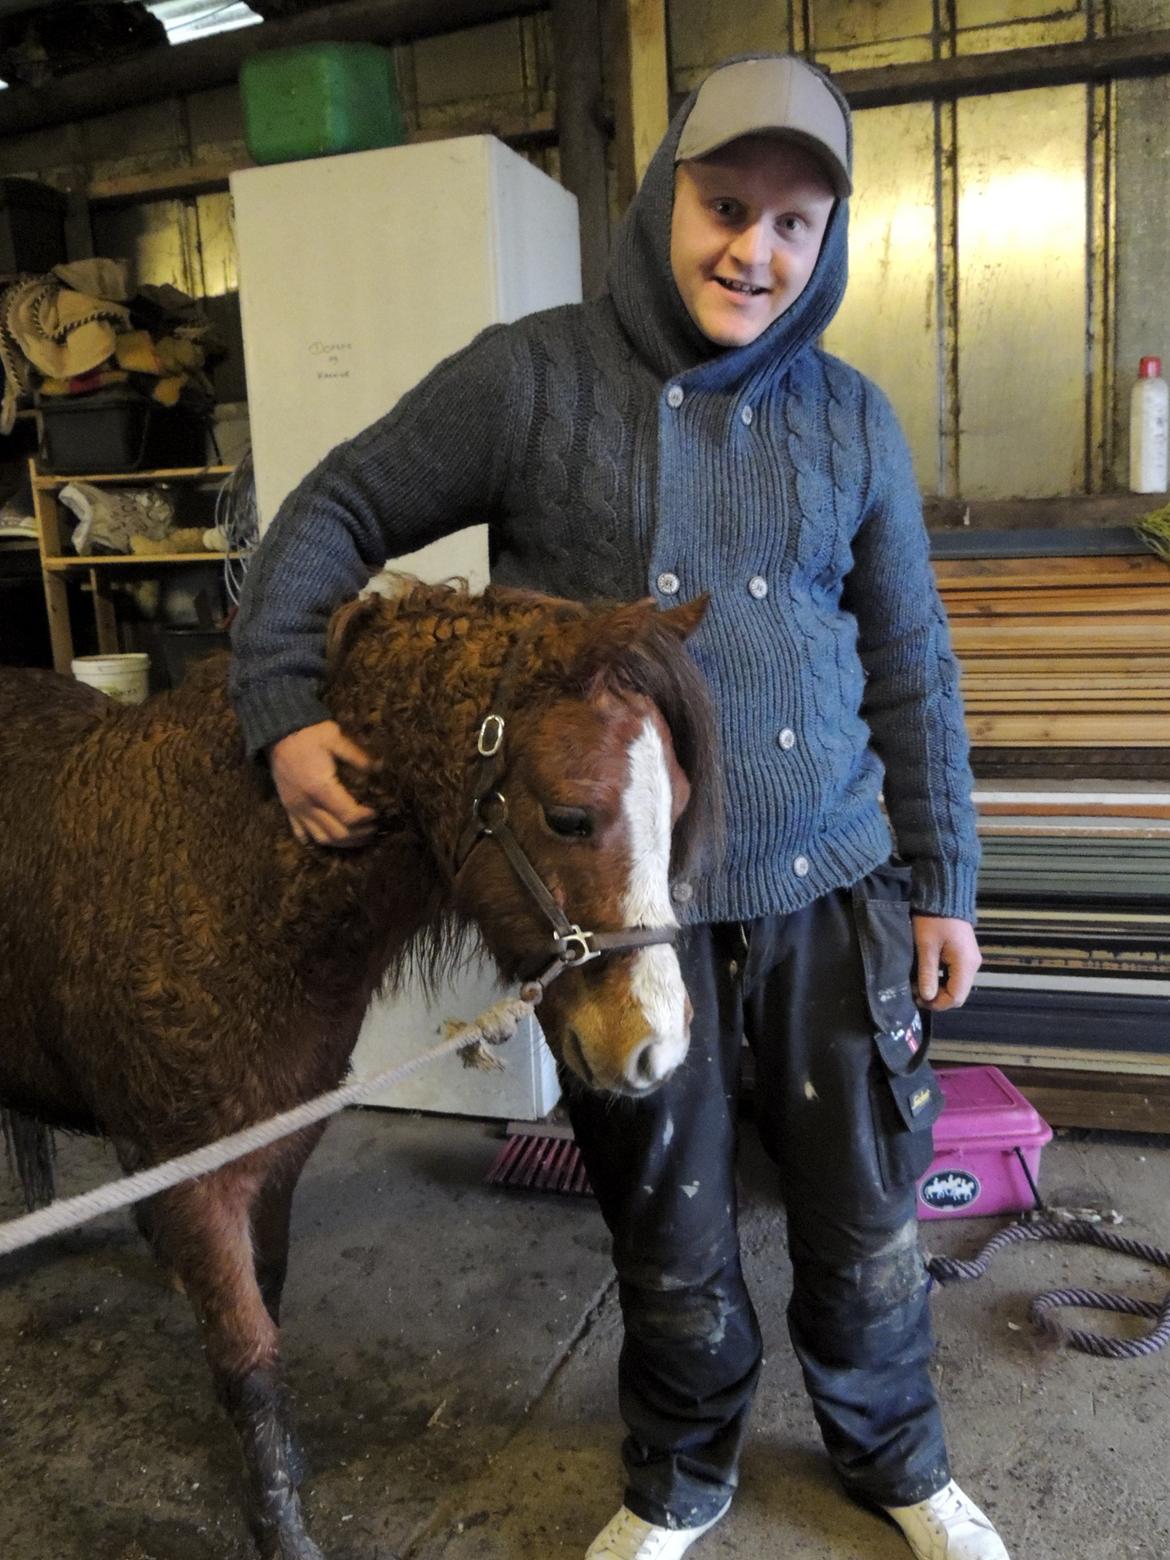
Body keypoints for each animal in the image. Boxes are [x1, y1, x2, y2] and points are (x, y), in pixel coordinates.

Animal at [0, 578, 716, 1560]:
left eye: (678, 804)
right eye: (571, 816)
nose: (654, 1047)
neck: (214, 876)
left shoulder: (275, 1158)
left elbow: (263, 1307)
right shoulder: (197, 1183)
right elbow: (249, 1358)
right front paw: (282, 1529)